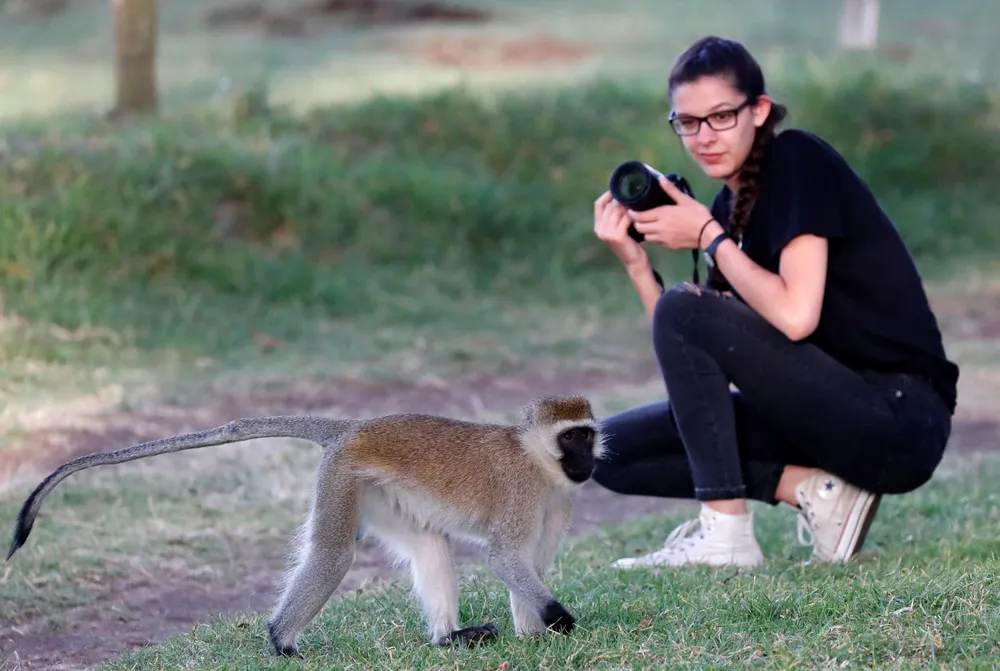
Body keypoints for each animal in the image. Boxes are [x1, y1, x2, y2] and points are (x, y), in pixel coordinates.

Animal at [5, 396, 600, 660]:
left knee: (429, 542)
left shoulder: (559, 499)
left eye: (589, 435)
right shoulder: (521, 494)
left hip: (376, 493)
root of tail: (354, 428)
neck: (538, 463)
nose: (589, 459)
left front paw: (532, 632)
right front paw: (561, 620)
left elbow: (528, 564)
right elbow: (505, 558)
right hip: (341, 479)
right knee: (333, 555)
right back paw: (280, 640)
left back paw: (448, 637)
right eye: (571, 437)